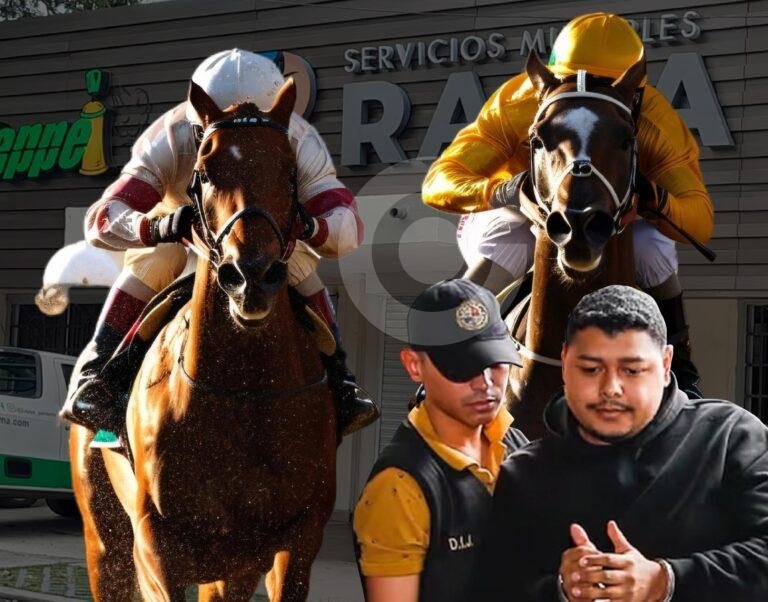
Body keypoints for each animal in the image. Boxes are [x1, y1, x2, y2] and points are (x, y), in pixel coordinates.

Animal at [70, 77, 336, 596]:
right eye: (205, 172)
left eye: (290, 172)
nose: (250, 276)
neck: (243, 392)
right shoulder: (156, 546)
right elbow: (106, 209)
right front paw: (174, 225)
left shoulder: (294, 542)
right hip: (103, 541)